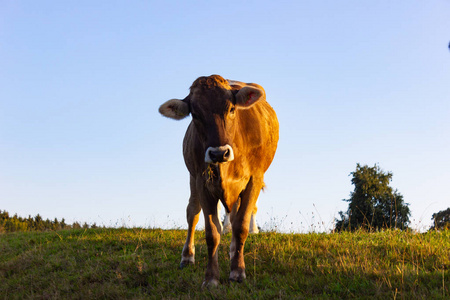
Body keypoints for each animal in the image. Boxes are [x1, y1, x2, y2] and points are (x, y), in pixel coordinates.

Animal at [158, 74, 278, 286]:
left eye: (231, 109)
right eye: (195, 114)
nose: (219, 153)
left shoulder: (254, 178)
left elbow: (241, 226)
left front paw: (238, 271)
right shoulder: (202, 182)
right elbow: (212, 232)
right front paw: (211, 278)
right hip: (193, 178)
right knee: (192, 212)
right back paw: (187, 257)